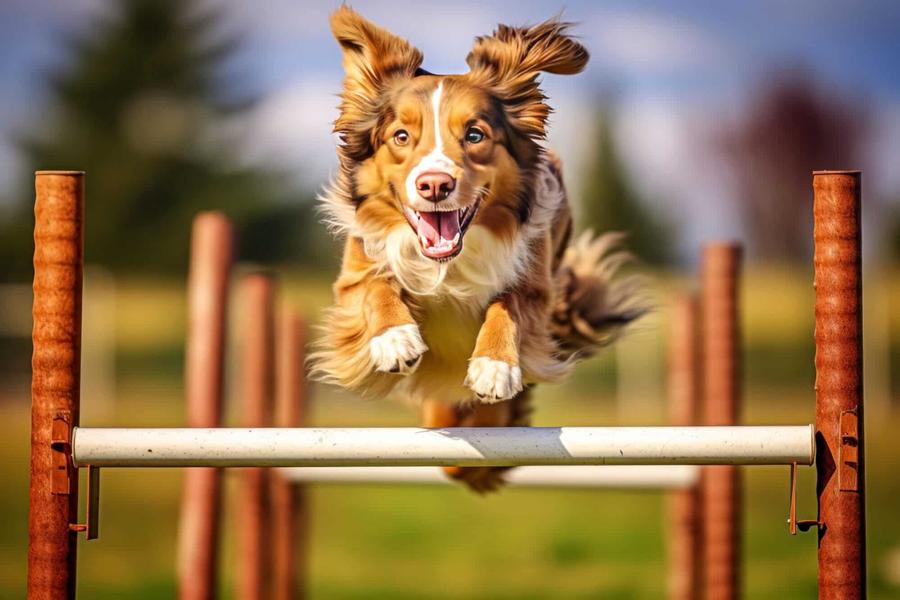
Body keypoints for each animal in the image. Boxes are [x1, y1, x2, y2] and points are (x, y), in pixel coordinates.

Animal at [312, 5, 644, 492]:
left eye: (474, 135)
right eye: (400, 137)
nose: (435, 185)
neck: (448, 264)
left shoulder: (536, 283)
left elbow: (508, 306)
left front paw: (495, 366)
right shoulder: (355, 273)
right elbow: (375, 288)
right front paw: (395, 338)